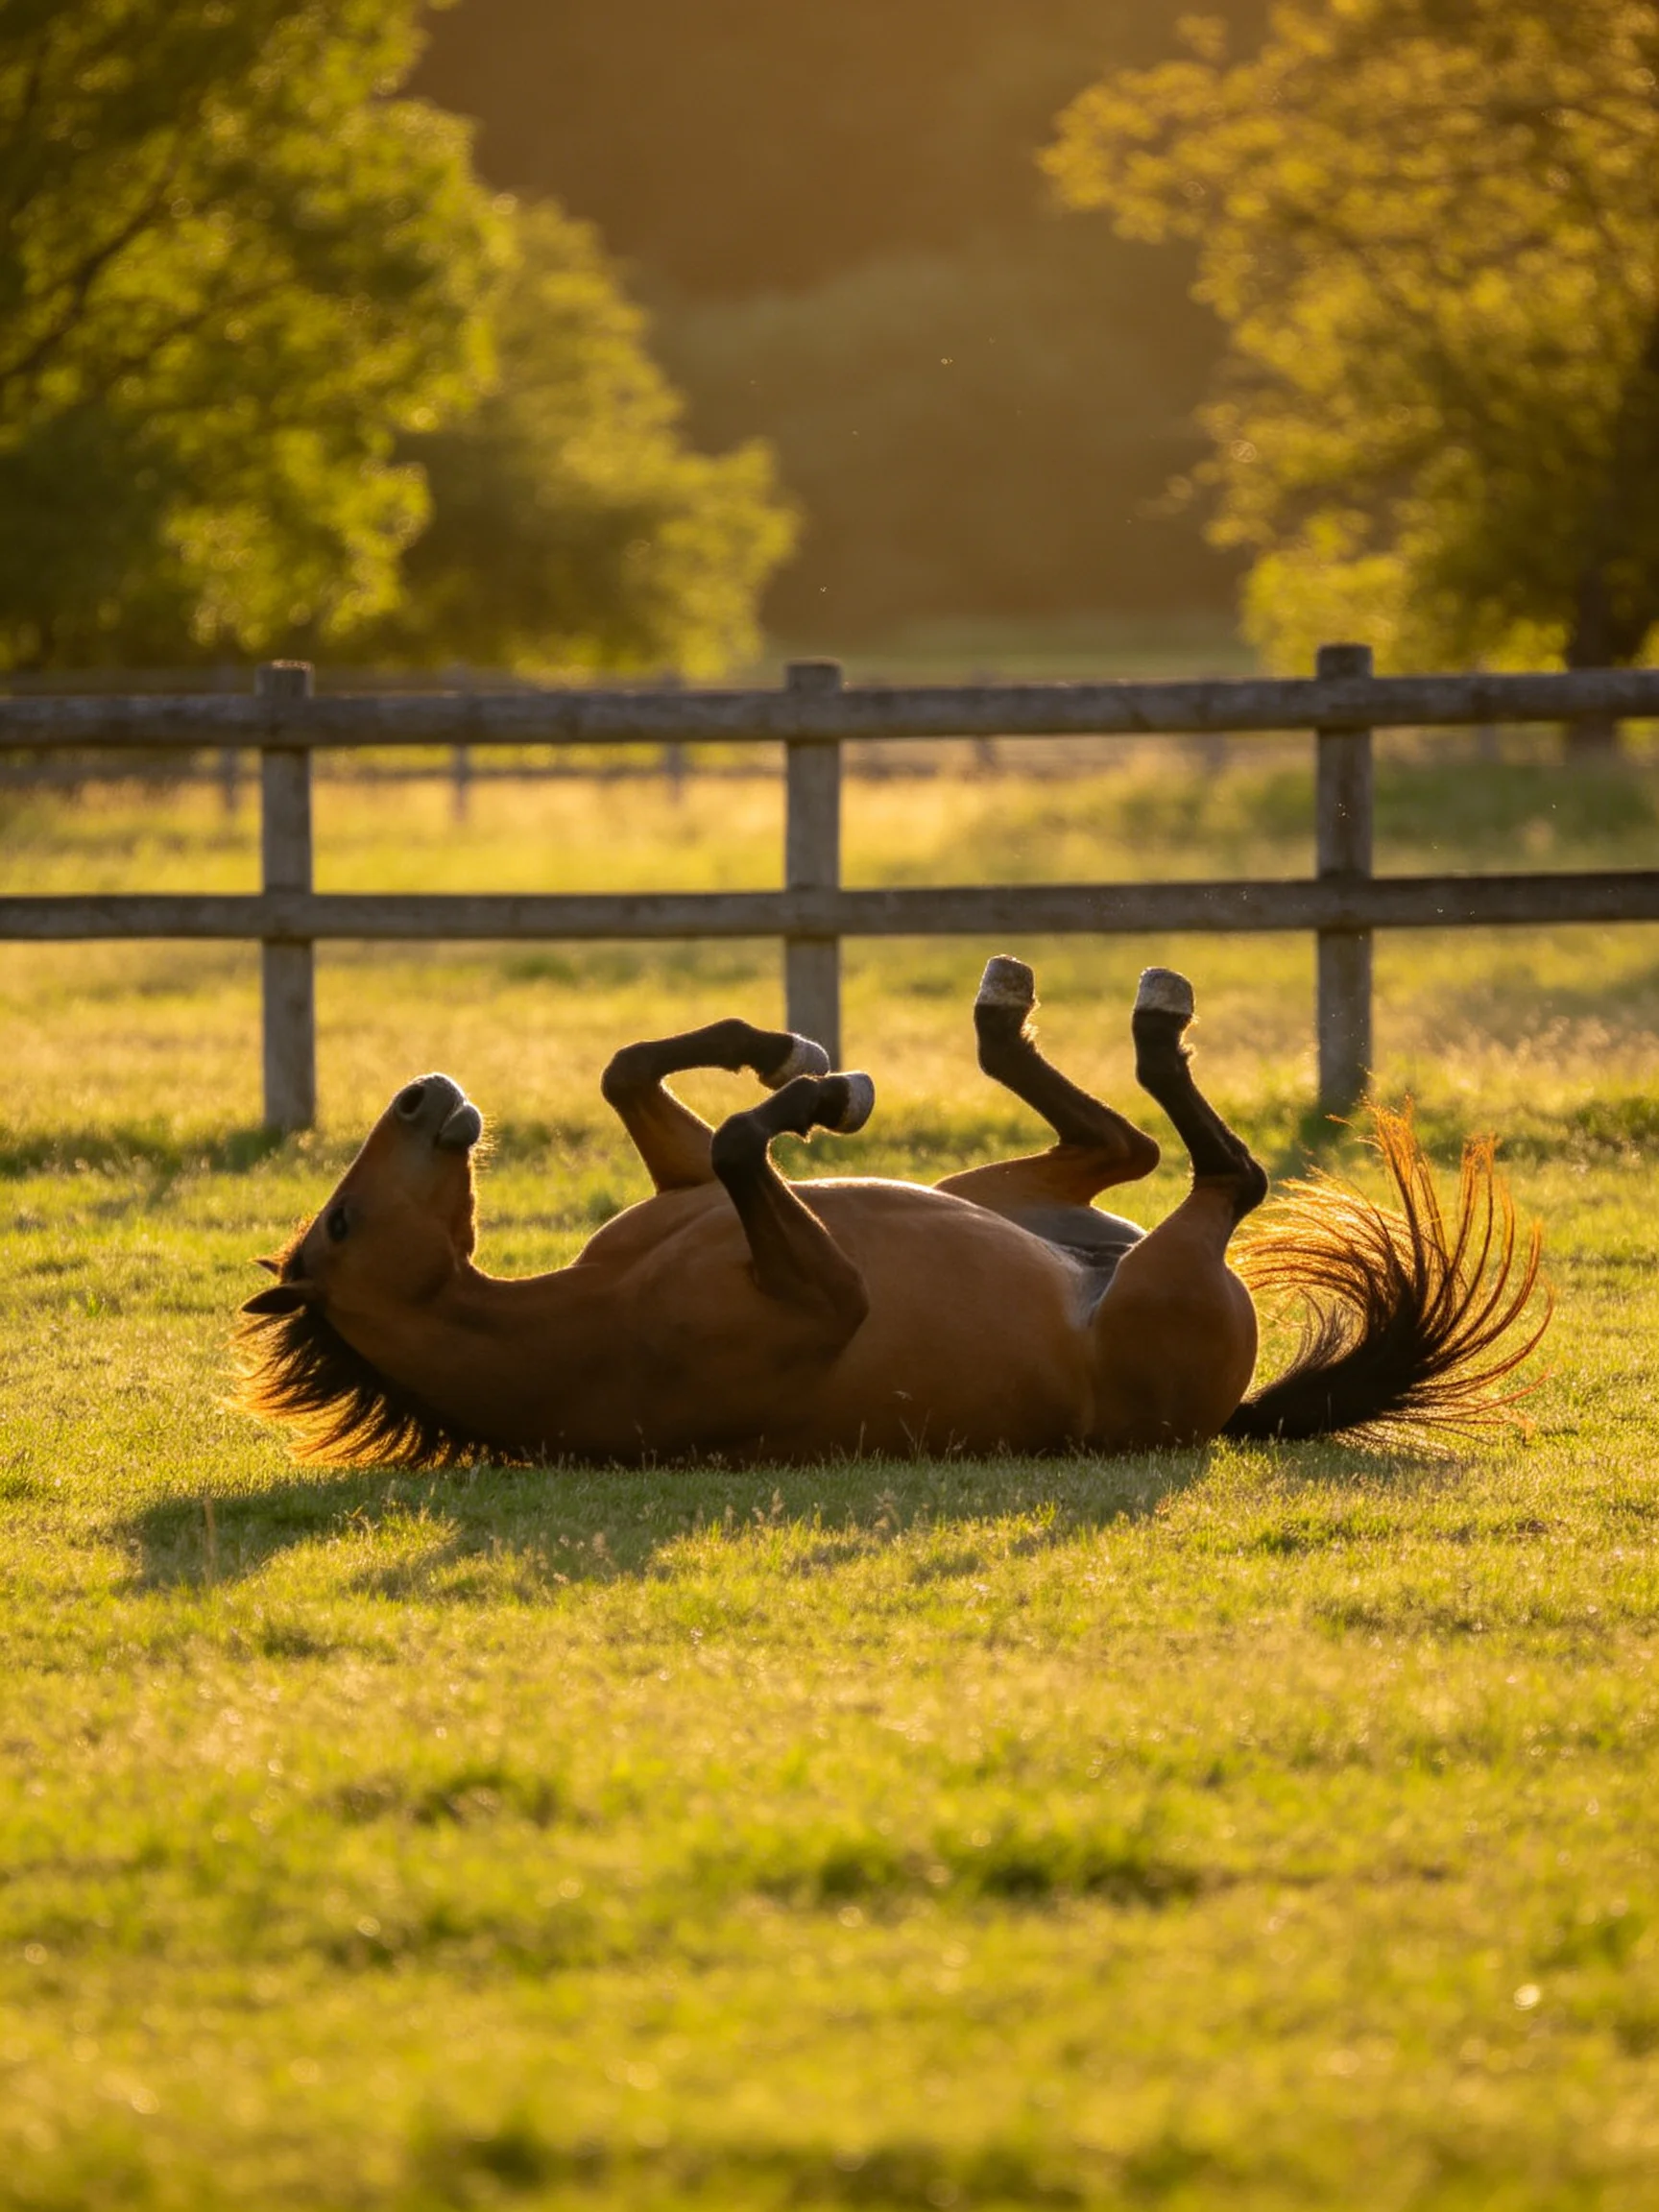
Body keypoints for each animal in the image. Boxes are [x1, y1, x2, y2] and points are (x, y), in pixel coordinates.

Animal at [236, 958, 1548, 1467]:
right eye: (339, 1225)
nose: (423, 1096)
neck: (578, 1326)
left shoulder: (681, 1197)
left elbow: (635, 1078)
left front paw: (796, 1063)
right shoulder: (827, 1293)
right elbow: (736, 1138)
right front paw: (812, 1088)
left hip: (1004, 1197)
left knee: (1117, 1143)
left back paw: (1000, 1014)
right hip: (1172, 1268)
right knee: (1226, 1175)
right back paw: (1149, 1016)